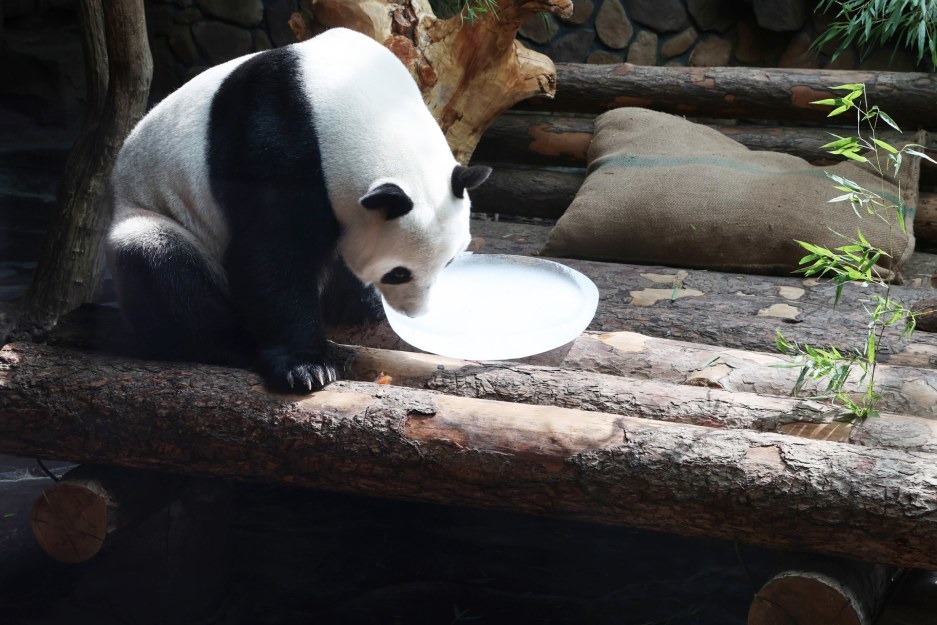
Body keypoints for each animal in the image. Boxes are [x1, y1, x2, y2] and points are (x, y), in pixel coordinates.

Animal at [106, 28, 490, 394]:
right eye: (399, 273)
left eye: (448, 263)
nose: (413, 312)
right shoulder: (272, 136)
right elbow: (272, 253)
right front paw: (306, 368)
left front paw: (360, 304)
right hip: (154, 210)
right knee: (159, 261)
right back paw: (231, 344)